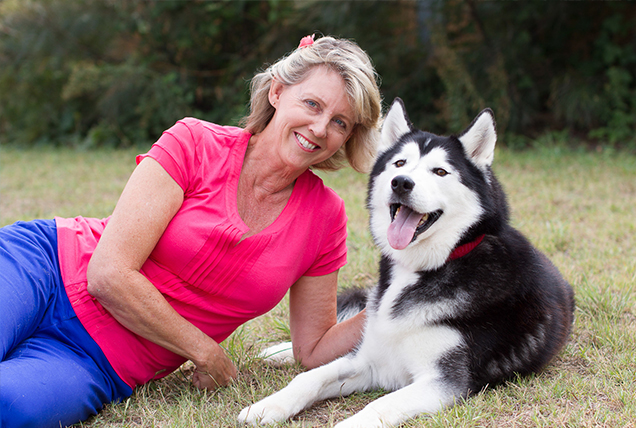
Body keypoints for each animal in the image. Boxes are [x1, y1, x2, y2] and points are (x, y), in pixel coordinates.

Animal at [240, 98, 576, 426]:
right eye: (399, 164)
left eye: (440, 172)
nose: (401, 183)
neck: (421, 269)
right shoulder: (370, 359)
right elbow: (309, 378)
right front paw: (267, 406)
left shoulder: (442, 381)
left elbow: (377, 406)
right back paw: (279, 351)